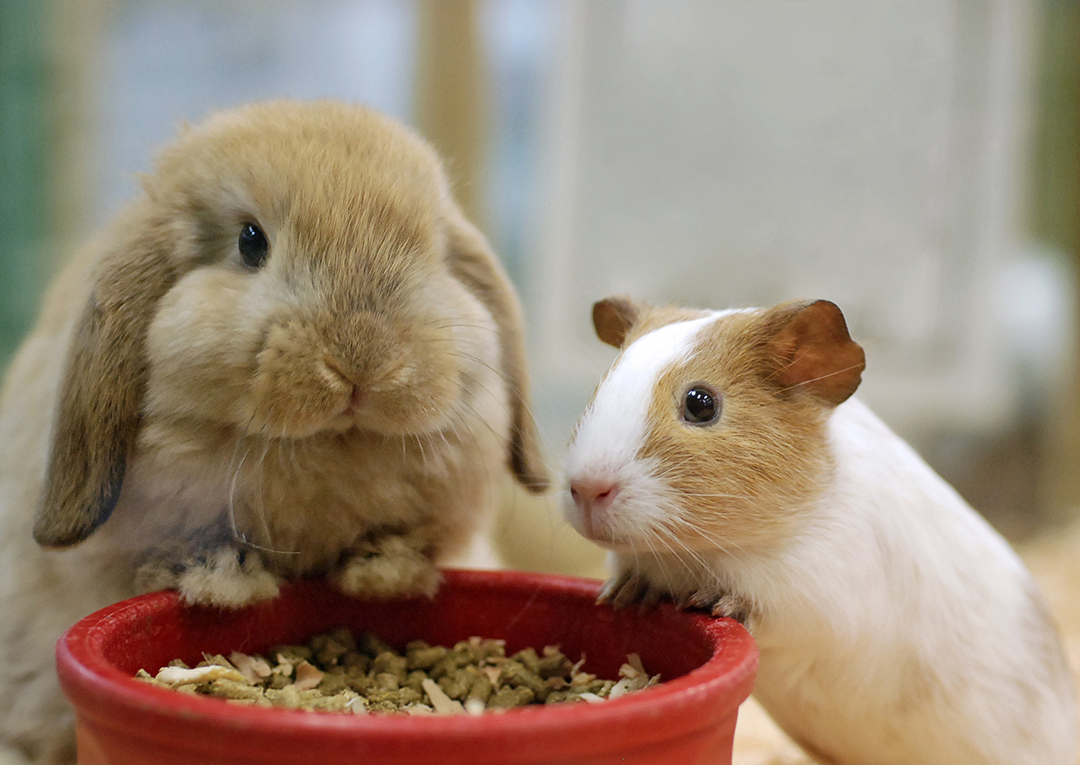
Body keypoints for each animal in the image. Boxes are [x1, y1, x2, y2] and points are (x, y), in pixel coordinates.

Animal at [0, 99, 548, 764]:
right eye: (250, 241)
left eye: (435, 252)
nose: (364, 359)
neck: (328, 450)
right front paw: (223, 583)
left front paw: (383, 575)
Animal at [562, 295, 1078, 765]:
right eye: (600, 388)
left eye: (701, 404)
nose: (586, 488)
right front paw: (623, 595)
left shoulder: (813, 598)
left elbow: (752, 602)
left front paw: (709, 601)